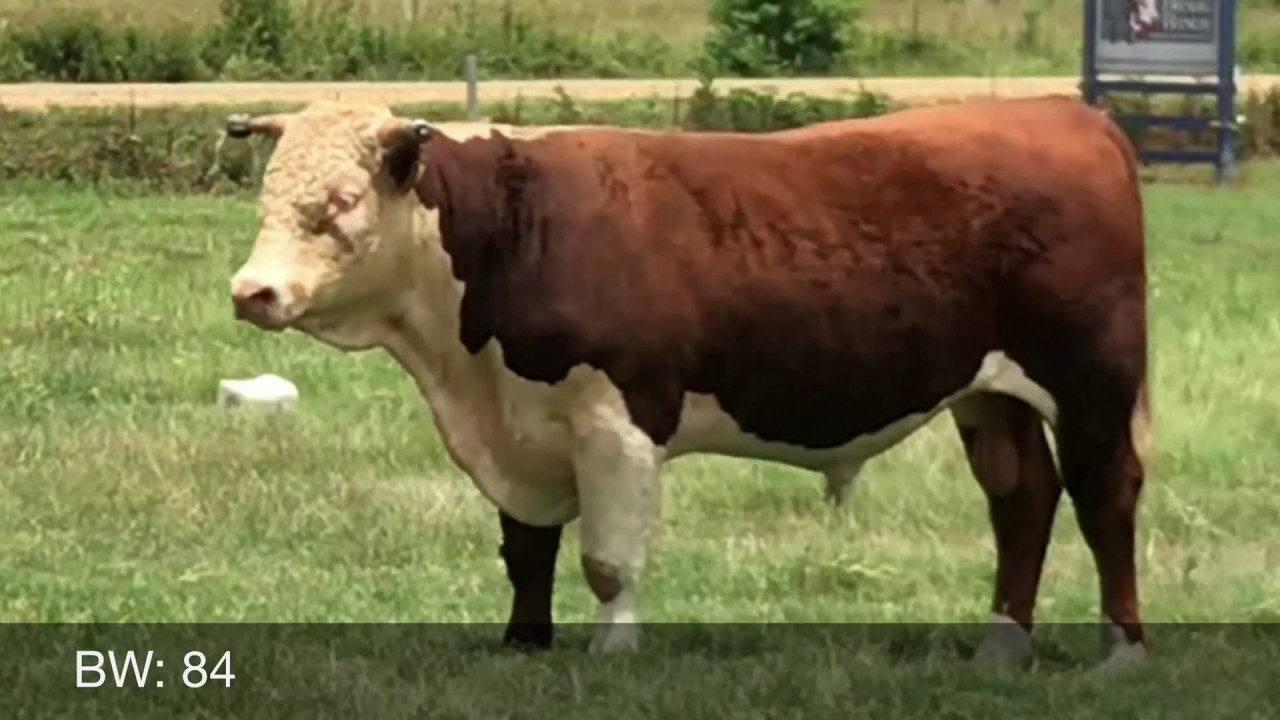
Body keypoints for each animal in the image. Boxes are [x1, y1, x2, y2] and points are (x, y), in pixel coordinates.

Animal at [224, 97, 1150, 670]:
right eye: (267, 196)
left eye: (341, 201)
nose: (251, 291)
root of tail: (1064, 111)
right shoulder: (516, 426)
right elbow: (526, 549)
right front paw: (525, 643)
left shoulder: (618, 420)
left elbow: (606, 559)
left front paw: (612, 650)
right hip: (989, 395)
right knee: (1022, 501)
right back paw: (1002, 646)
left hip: (1093, 386)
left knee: (1104, 500)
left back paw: (1121, 652)